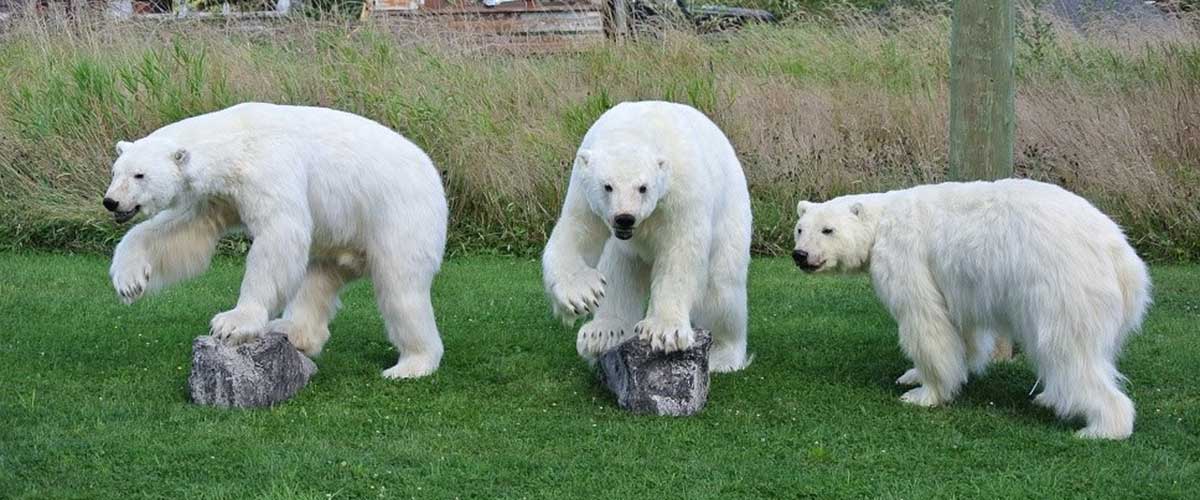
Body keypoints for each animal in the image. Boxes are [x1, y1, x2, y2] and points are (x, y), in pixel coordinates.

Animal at [103, 103, 448, 378]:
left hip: (398, 216)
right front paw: (129, 282)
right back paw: (291, 330)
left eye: (139, 175)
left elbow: (280, 233)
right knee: (318, 278)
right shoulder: (218, 197)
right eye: (115, 172)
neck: (233, 141)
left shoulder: (269, 167)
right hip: (340, 238)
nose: (111, 202)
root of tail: (433, 172)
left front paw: (232, 323)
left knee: (401, 289)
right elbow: (182, 233)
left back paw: (411, 365)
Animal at [542, 101, 748, 371]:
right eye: (607, 186)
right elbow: (576, 231)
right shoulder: (583, 190)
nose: (625, 218)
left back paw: (724, 355)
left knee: (722, 289)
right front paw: (582, 295)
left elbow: (681, 253)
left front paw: (664, 331)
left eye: (643, 187)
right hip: (621, 248)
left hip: (731, 214)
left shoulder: (682, 191)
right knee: (619, 274)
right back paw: (603, 333)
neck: (636, 129)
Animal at [792, 178, 1147, 436]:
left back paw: (1101, 428)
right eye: (800, 229)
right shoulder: (957, 286)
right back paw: (1053, 397)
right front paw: (913, 375)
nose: (800, 255)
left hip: (1063, 286)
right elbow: (962, 330)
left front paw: (923, 394)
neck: (883, 218)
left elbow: (925, 321)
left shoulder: (906, 256)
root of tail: (1122, 256)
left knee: (1069, 351)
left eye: (828, 229)